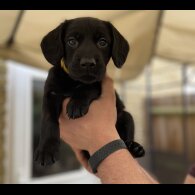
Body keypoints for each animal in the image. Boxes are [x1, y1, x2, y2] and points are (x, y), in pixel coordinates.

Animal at [34, 17, 145, 165]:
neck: (73, 81)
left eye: (102, 42)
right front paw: (46, 149)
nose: (88, 63)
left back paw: (135, 148)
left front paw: (76, 104)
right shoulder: (50, 94)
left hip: (125, 116)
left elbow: (88, 86)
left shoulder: (98, 82)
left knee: (126, 138)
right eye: (72, 41)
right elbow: (48, 121)